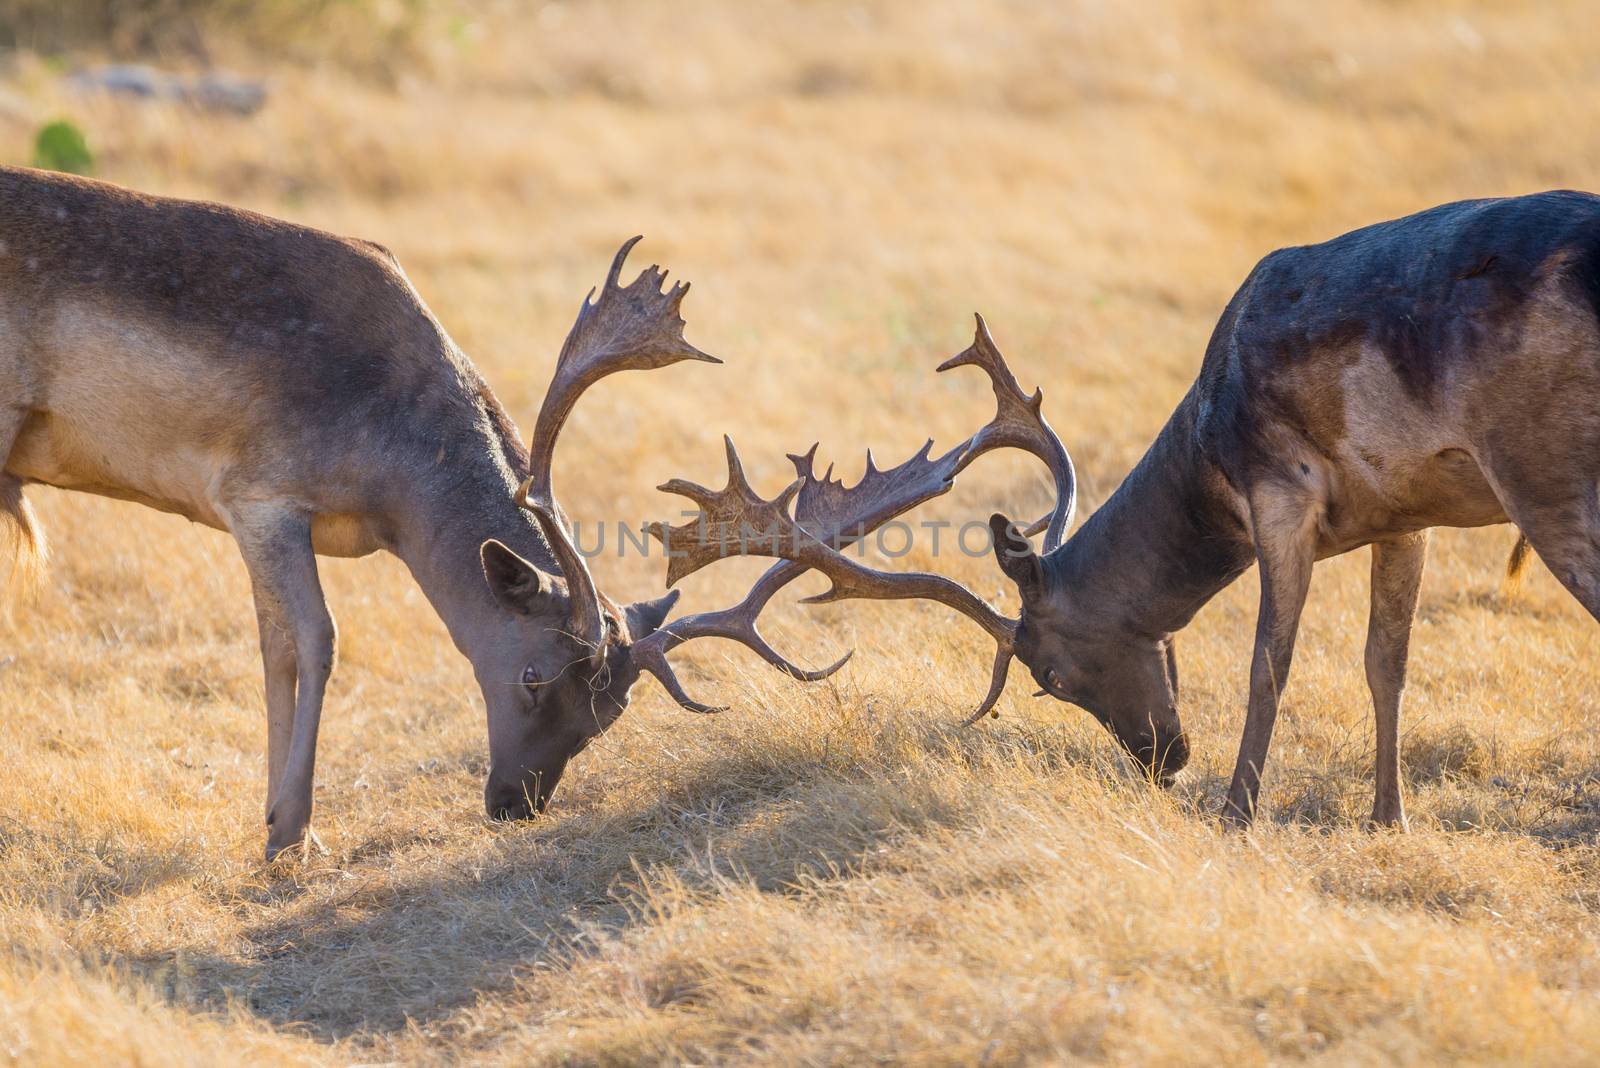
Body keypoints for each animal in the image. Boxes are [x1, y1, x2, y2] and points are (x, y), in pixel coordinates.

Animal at [652, 187, 1600, 831]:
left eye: (1050, 675)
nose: (1164, 762)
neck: (1207, 450)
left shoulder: (1282, 490)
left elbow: (1269, 663)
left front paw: (1237, 813)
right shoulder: (1403, 514)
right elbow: (1386, 662)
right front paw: (1386, 819)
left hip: (1548, 477)